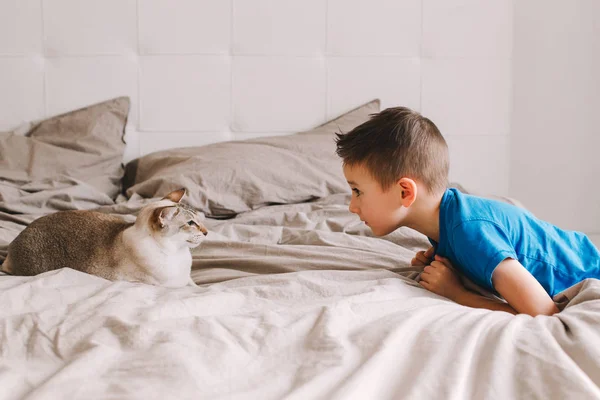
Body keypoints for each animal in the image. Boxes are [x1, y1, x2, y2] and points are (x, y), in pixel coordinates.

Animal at [0, 188, 206, 288]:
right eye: (191, 223)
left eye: (199, 219)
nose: (206, 232)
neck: (177, 255)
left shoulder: (188, 280)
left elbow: (196, 287)